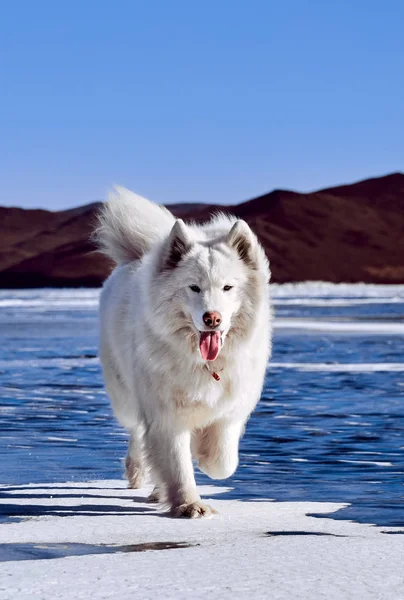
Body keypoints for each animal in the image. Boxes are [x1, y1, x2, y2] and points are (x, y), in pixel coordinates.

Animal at [95, 186, 272, 516]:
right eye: (194, 287)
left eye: (228, 287)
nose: (212, 318)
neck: (204, 364)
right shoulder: (165, 413)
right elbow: (177, 464)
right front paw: (190, 505)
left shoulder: (231, 410)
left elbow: (222, 462)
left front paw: (203, 455)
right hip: (126, 397)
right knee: (137, 434)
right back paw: (138, 473)